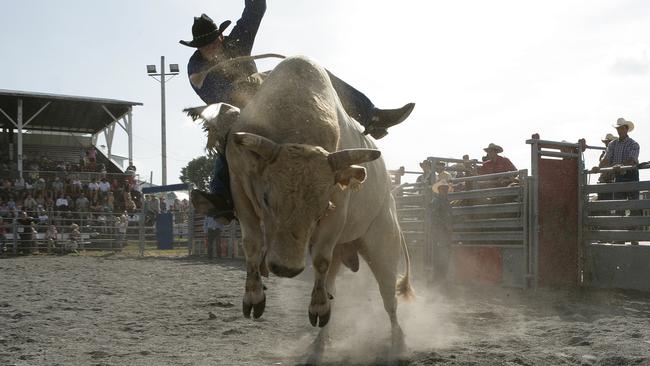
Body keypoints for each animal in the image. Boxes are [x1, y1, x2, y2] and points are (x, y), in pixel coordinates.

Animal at [185, 55, 412, 358]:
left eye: (322, 207)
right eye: (266, 198)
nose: (285, 269)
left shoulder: (337, 208)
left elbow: (320, 259)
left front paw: (315, 307)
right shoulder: (240, 187)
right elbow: (252, 244)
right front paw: (254, 297)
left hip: (383, 244)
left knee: (389, 300)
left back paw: (397, 342)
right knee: (332, 292)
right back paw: (320, 343)